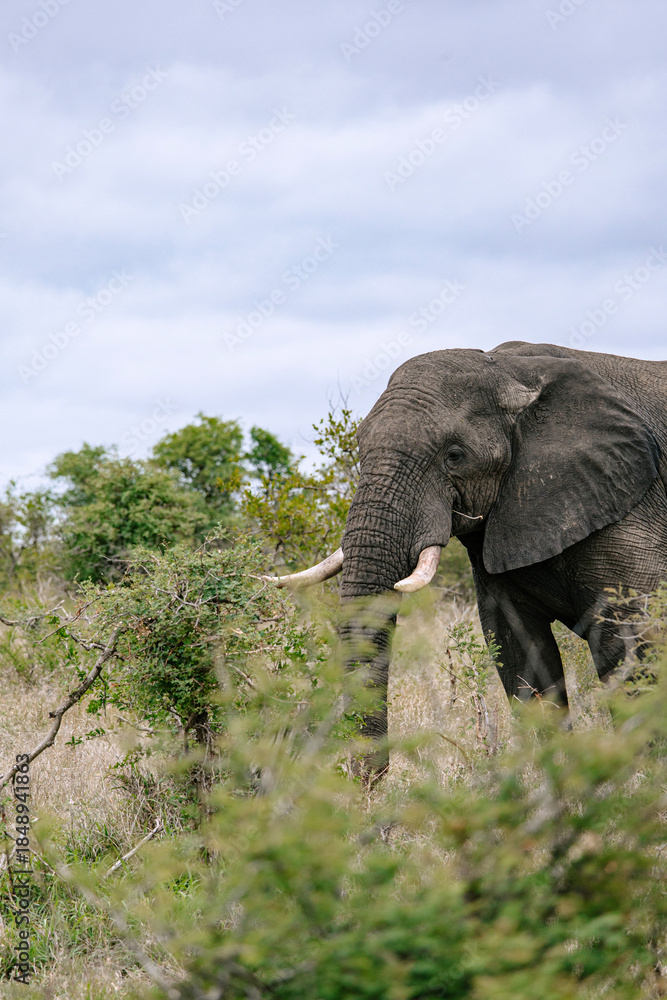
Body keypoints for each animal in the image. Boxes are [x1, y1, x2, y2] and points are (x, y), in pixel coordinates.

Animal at [271, 342, 667, 771]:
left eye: (455, 456)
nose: (368, 779)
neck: (512, 371)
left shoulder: (631, 510)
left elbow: (632, 649)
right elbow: (519, 654)